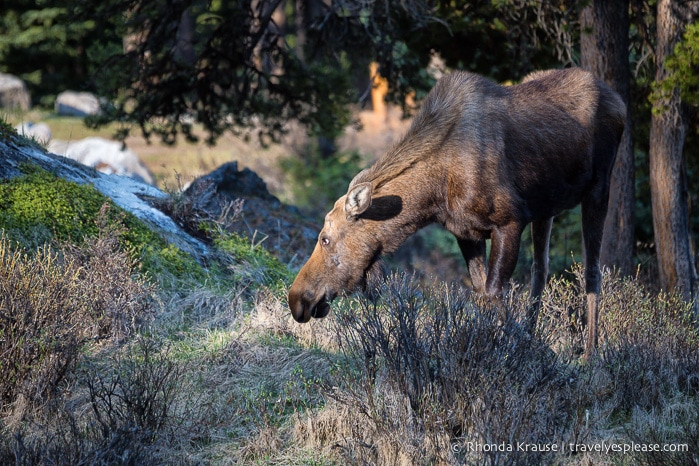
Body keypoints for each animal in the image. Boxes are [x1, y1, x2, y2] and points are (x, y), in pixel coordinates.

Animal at [288, 67, 628, 358]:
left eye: (325, 238)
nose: (297, 299)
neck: (435, 193)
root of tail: (620, 101)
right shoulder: (466, 233)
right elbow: (481, 294)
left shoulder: (509, 221)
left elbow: (493, 293)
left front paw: (529, 352)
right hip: (546, 207)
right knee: (540, 270)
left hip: (599, 188)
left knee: (592, 269)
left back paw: (591, 354)